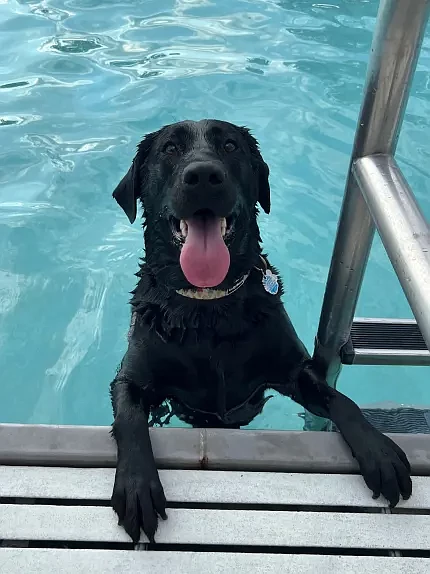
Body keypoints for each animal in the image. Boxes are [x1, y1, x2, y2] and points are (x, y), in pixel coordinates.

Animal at [109, 118, 412, 544]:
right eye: (169, 148)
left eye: (230, 146)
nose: (204, 175)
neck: (208, 308)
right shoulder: (130, 380)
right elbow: (130, 420)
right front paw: (137, 486)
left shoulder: (294, 370)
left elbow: (340, 400)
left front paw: (378, 450)